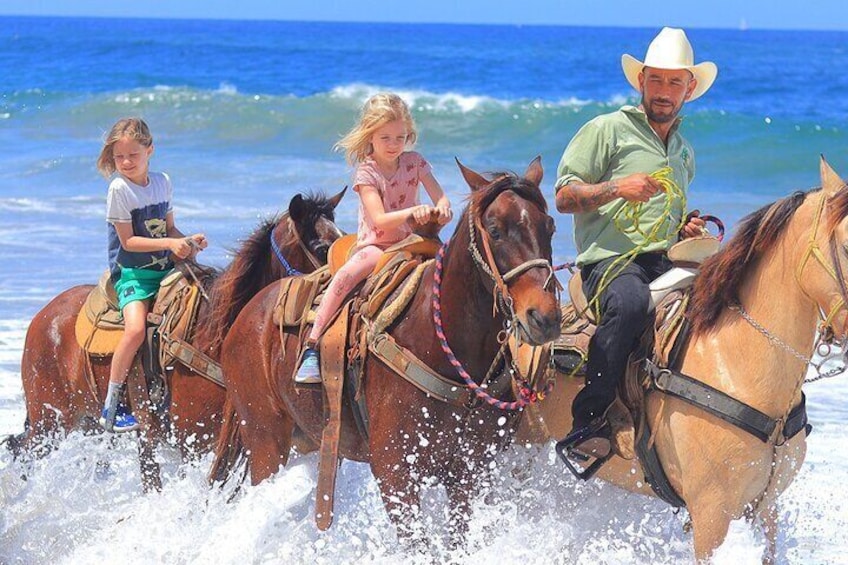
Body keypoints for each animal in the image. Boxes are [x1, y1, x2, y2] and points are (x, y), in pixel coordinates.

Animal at [11, 187, 342, 470]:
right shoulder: (193, 444)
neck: (212, 336)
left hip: (84, 421)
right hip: (48, 423)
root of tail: (43, 315)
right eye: (320, 246)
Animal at [207, 158, 564, 548]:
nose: (544, 318)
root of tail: (248, 313)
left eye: (550, 227)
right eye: (496, 231)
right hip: (266, 441)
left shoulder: (470, 474)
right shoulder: (396, 475)